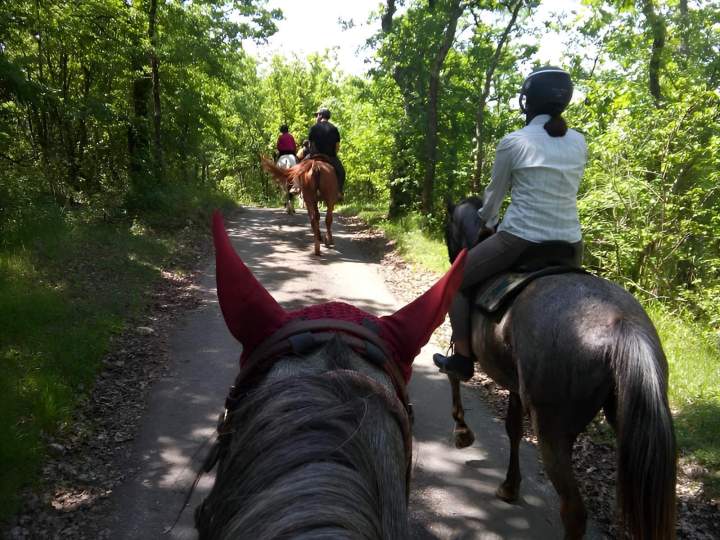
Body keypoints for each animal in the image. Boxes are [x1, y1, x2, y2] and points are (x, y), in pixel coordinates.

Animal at [442, 198, 677, 540]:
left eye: (447, 230)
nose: (453, 261)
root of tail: (622, 326)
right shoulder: (514, 385)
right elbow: (512, 429)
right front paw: (510, 487)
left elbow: (455, 374)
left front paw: (462, 431)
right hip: (629, 425)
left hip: (551, 427)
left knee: (574, 512)